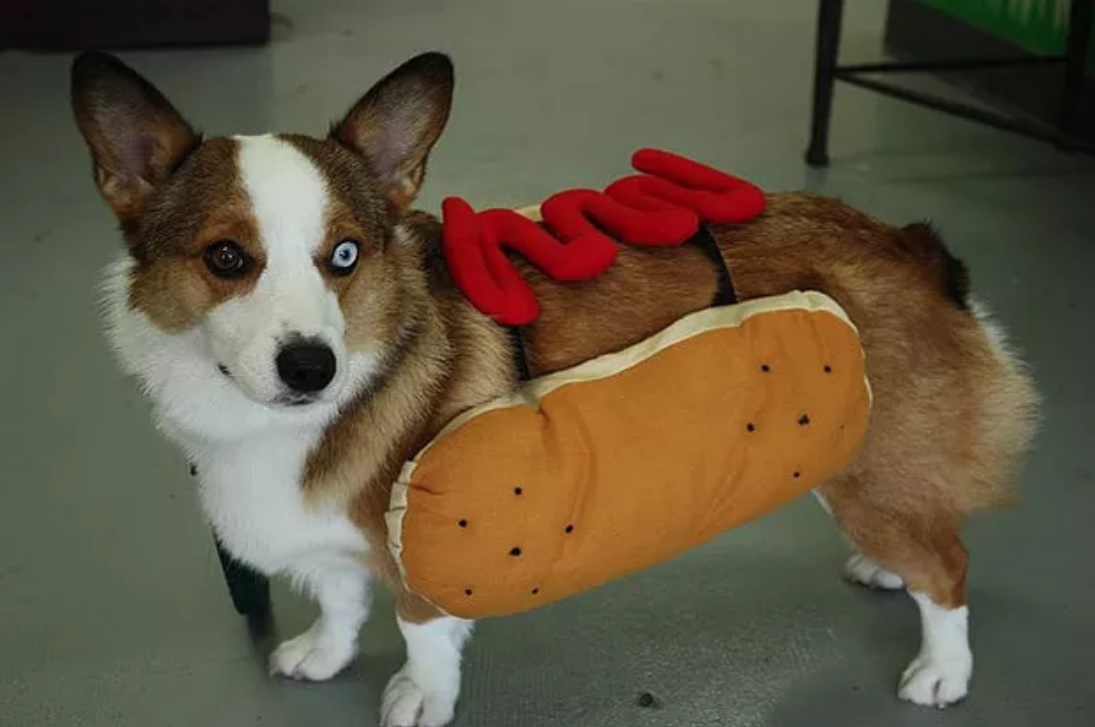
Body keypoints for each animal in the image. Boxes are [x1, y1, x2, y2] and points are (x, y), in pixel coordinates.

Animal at [75, 48, 1033, 722]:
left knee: (947, 567)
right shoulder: (329, 540)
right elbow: (341, 601)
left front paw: (420, 697)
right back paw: (884, 569)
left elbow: (418, 629)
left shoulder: (420, 543)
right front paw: (321, 653)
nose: (313, 366)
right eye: (225, 258)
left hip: (873, 471)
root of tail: (907, 241)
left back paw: (941, 668)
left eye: (344, 254)